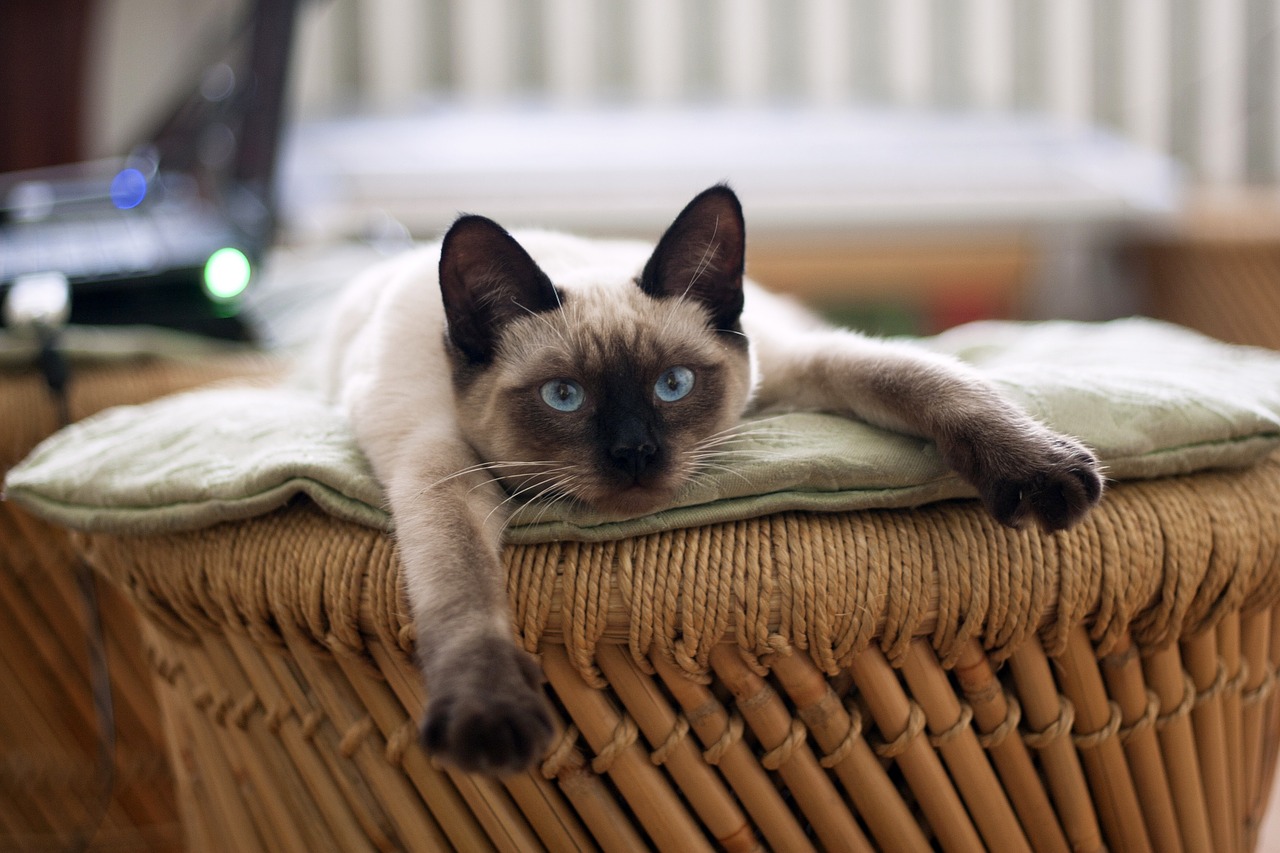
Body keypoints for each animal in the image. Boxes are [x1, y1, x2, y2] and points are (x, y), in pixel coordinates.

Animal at [317, 180, 1100, 768]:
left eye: (674, 385)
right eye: (564, 397)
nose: (635, 453)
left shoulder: (799, 367)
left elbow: (926, 380)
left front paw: (1042, 469)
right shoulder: (440, 470)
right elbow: (461, 584)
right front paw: (488, 715)